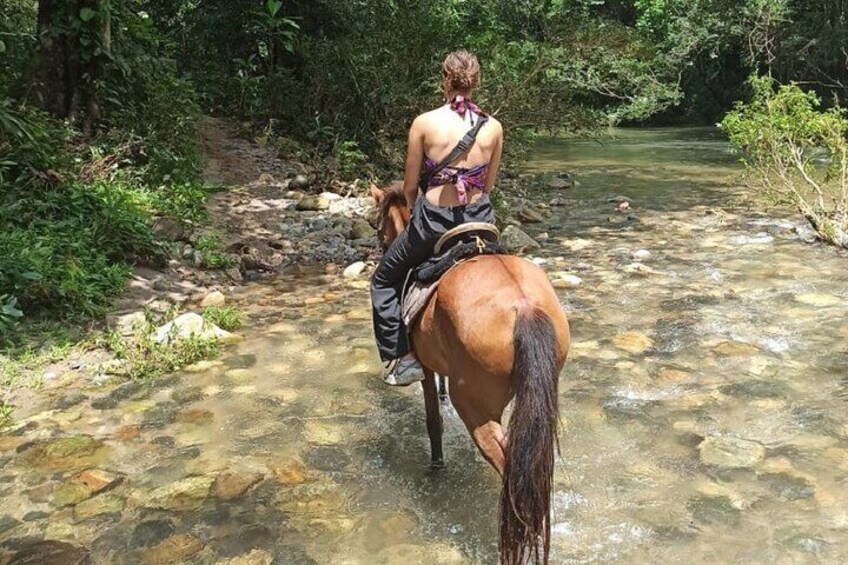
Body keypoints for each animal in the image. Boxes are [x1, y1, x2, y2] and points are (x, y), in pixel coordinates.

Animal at [372, 183, 568, 560]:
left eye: (377, 227)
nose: (382, 247)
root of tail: (525, 307)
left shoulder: (425, 367)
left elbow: (433, 421)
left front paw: (436, 466)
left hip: (475, 407)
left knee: (510, 468)